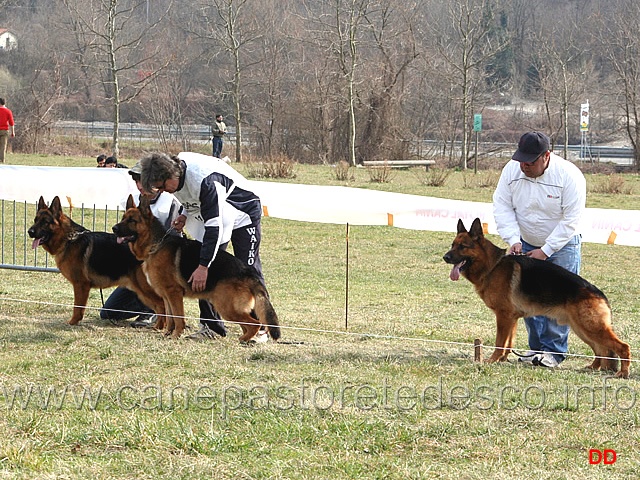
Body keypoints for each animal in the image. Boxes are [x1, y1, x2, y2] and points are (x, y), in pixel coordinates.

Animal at [28, 196, 164, 326]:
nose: (30, 232)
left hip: (145, 288)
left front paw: (72, 323)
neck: (69, 239)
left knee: (162, 306)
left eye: (45, 222)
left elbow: (77, 307)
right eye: (35, 220)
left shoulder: (80, 285)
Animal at [112, 194, 280, 342]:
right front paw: (167, 333)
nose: (114, 228)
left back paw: (243, 339)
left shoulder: (174, 294)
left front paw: (175, 336)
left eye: (132, 220)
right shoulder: (166, 296)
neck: (156, 244)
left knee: (255, 323)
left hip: (226, 307)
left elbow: (178, 318)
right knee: (248, 325)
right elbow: (170, 318)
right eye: (123, 218)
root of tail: (250, 273)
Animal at [444, 218, 632, 378]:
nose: (445, 257)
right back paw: (593, 367)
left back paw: (623, 373)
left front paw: (491, 360)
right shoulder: (511, 318)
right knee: (600, 349)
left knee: (622, 347)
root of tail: (599, 294)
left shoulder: (503, 316)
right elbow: (508, 343)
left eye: (463, 246)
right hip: (582, 328)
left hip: (590, 327)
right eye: (453, 245)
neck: (492, 266)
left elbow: (500, 342)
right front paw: (502, 360)